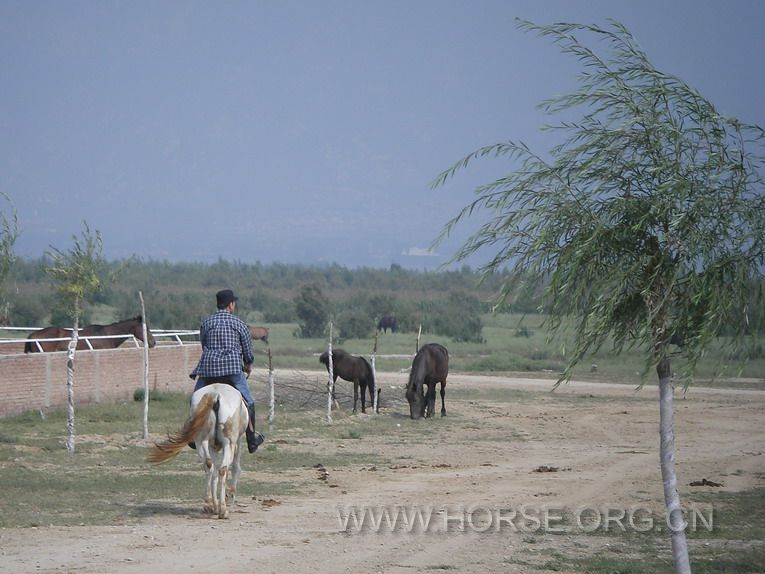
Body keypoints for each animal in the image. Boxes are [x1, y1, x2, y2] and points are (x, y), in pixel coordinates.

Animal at [148, 384, 246, 520]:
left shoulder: (212, 446)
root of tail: (215, 394)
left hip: (201, 441)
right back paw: (222, 510)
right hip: (228, 443)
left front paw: (215, 504)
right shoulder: (237, 441)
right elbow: (235, 467)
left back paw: (209, 506)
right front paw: (230, 496)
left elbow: (214, 473)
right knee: (223, 469)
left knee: (209, 466)